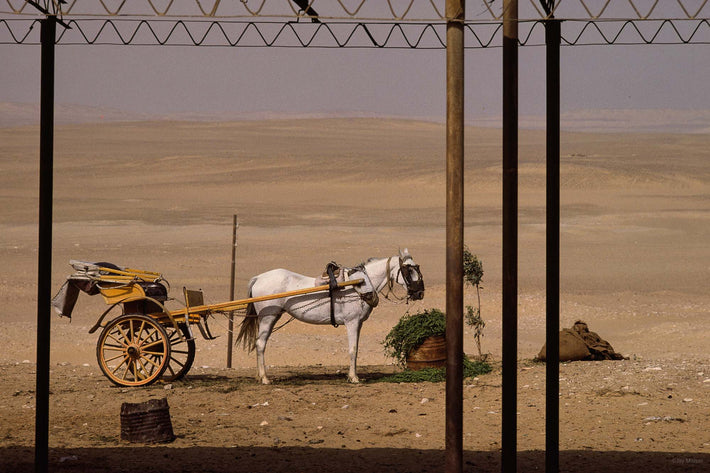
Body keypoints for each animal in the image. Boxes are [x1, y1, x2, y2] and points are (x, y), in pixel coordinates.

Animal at [236, 249, 426, 382]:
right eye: (408, 271)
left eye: (417, 268)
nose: (420, 293)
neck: (360, 284)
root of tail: (259, 277)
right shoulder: (352, 322)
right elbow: (353, 349)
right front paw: (354, 378)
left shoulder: (359, 323)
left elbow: (356, 349)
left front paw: (353, 375)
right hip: (267, 317)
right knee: (260, 344)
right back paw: (265, 378)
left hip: (272, 317)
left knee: (260, 343)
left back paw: (260, 376)